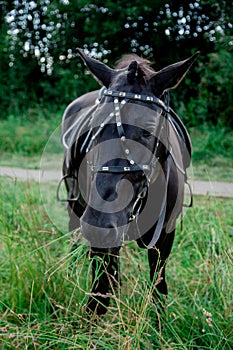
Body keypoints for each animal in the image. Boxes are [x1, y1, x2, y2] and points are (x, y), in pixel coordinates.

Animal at [58, 48, 198, 314]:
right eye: (94, 124)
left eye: (148, 129)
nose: (98, 224)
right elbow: (100, 292)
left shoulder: (165, 237)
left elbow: (158, 288)